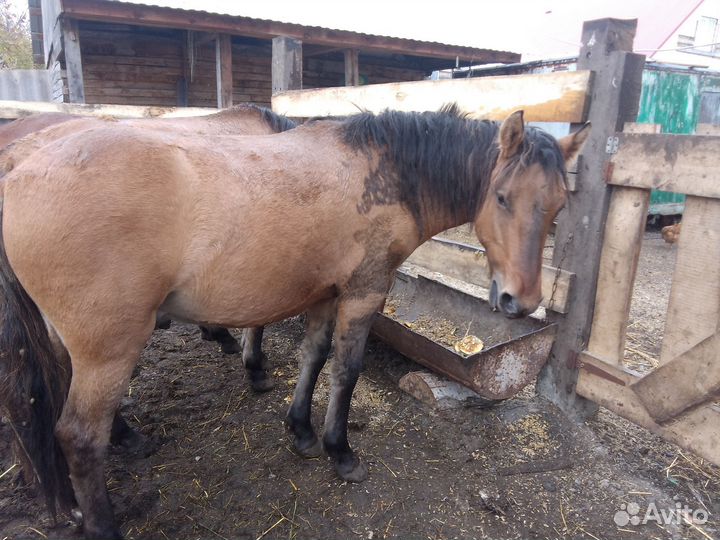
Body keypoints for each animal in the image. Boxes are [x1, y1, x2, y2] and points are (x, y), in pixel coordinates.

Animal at [0, 105, 589, 538]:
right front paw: (339, 451)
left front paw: (302, 429)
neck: (382, 172)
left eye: (559, 205)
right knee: (80, 437)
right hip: (109, 350)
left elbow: (313, 357)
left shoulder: (324, 294)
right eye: (502, 197)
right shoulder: (363, 293)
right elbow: (345, 372)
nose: (521, 300)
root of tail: (21, 170)